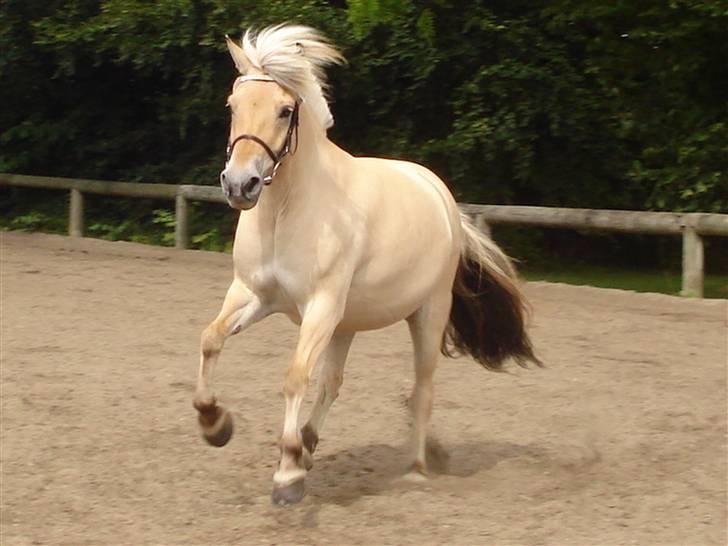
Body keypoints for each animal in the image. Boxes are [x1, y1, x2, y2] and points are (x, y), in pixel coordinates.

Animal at [193, 24, 540, 502]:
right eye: (233, 105)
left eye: (285, 110)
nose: (240, 184)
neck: (286, 211)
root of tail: (440, 195)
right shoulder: (252, 294)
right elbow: (211, 339)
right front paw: (215, 424)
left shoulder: (319, 305)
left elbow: (295, 376)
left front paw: (287, 475)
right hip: (347, 322)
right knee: (334, 383)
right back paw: (309, 444)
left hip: (427, 313)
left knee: (422, 390)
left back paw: (413, 469)